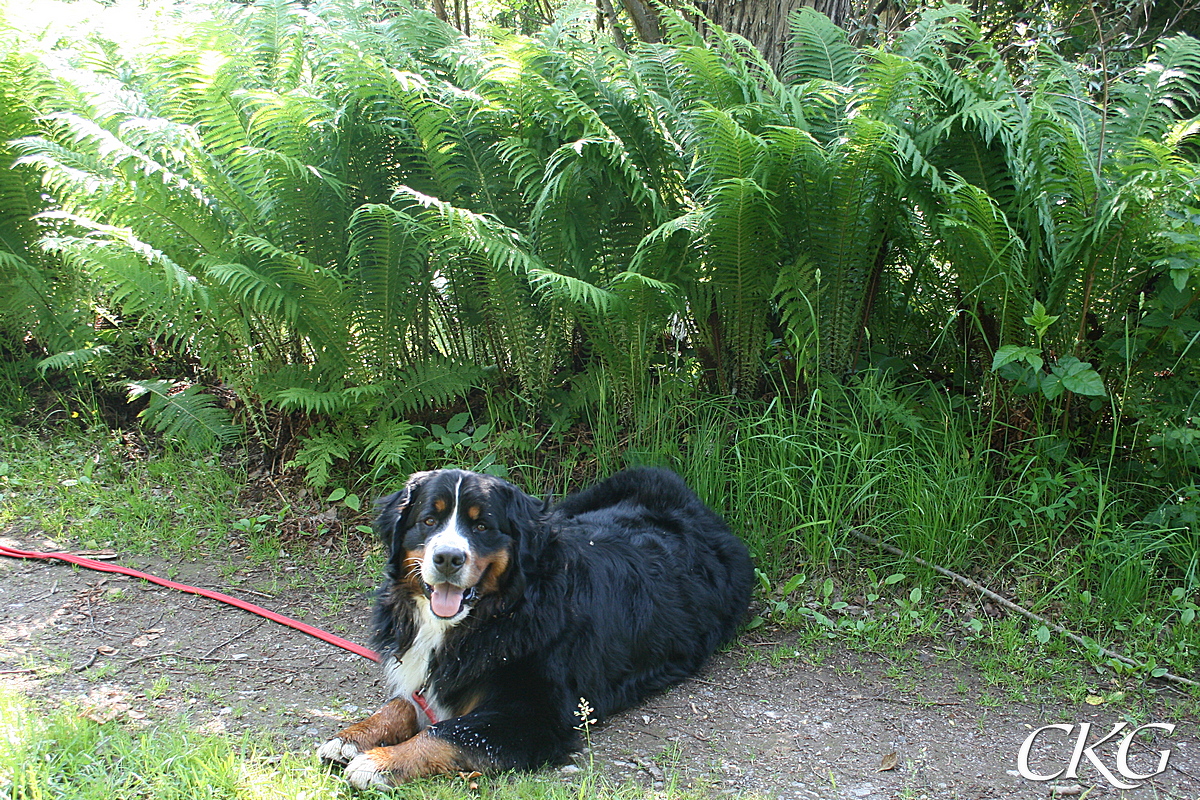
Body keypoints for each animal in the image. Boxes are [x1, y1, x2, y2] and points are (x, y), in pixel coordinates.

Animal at [319, 470, 748, 786]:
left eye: (482, 526)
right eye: (429, 520)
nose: (448, 558)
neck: (499, 614)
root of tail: (695, 507)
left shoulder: (536, 714)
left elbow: (447, 732)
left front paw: (380, 762)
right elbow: (401, 704)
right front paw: (352, 737)